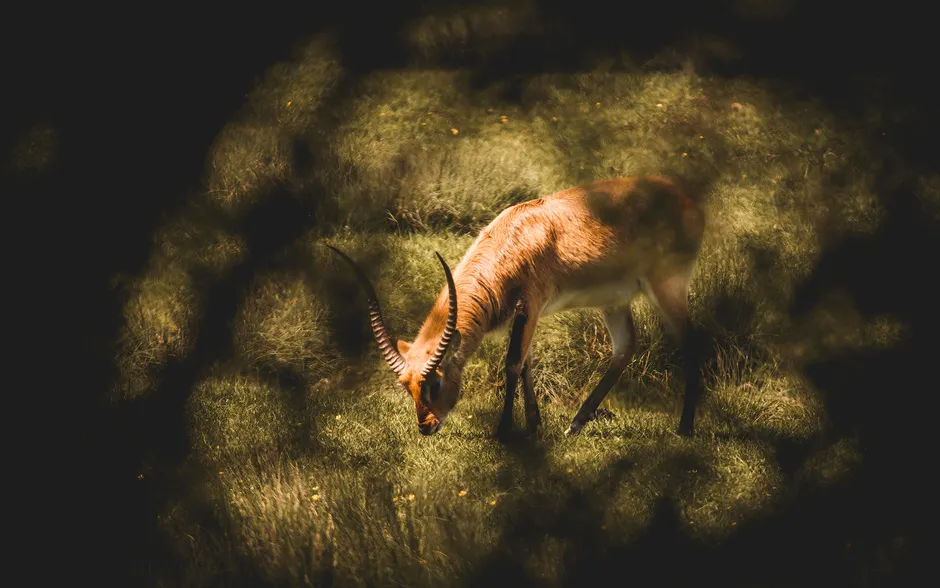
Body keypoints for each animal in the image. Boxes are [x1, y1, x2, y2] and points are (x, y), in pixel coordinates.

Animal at [328, 176, 706, 438]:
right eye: (407, 386)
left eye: (434, 382)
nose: (426, 426)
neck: (514, 239)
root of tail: (684, 199)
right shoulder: (526, 314)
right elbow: (526, 363)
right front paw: (534, 425)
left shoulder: (531, 305)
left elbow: (511, 364)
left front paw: (504, 431)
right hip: (614, 301)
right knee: (626, 347)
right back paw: (575, 425)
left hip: (666, 287)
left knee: (691, 340)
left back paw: (684, 428)